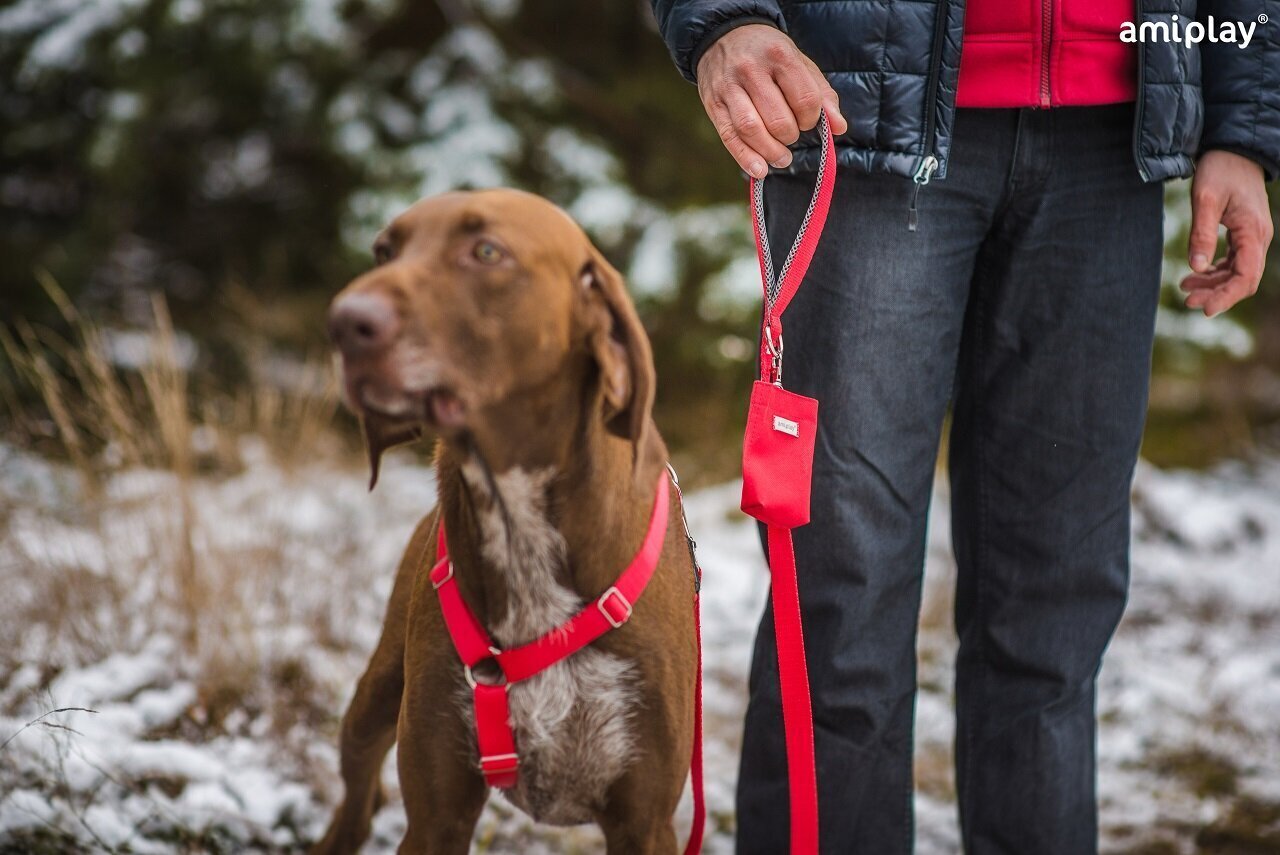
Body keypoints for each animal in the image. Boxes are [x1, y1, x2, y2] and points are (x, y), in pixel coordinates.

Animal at [317, 190, 701, 849]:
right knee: (358, 790)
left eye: (487, 252)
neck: (516, 516)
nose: (344, 321)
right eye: (384, 251)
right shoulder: (437, 817)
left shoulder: (646, 823)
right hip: (373, 700)